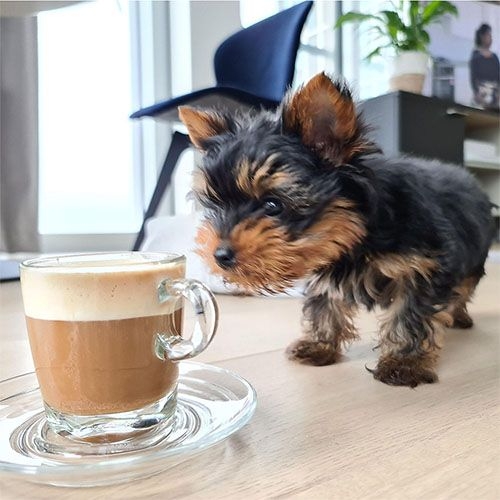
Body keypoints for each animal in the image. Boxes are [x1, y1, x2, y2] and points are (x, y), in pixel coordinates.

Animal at [178, 73, 494, 386]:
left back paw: (458, 315)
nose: (220, 255)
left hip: (473, 257)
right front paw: (319, 345)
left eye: (272, 205)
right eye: (216, 206)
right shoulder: (324, 261)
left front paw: (404, 363)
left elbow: (410, 314)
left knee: (464, 287)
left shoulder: (422, 266)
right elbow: (325, 303)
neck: (357, 237)